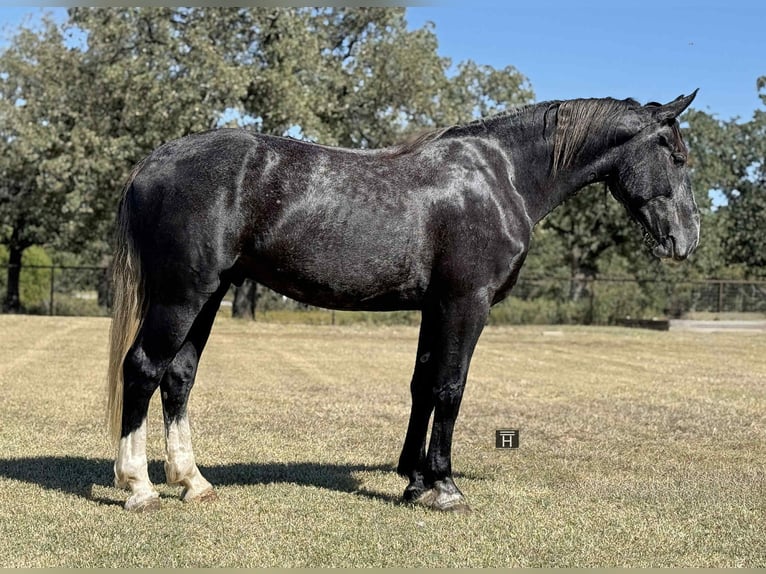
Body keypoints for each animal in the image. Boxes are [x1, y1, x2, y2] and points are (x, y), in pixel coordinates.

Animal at [107, 91, 700, 513]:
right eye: (675, 156)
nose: (686, 239)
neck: (502, 175)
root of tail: (153, 162)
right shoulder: (466, 303)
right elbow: (451, 387)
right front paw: (445, 486)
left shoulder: (435, 307)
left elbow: (422, 384)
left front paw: (413, 480)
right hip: (182, 295)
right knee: (143, 369)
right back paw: (139, 487)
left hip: (210, 295)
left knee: (179, 376)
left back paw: (193, 481)